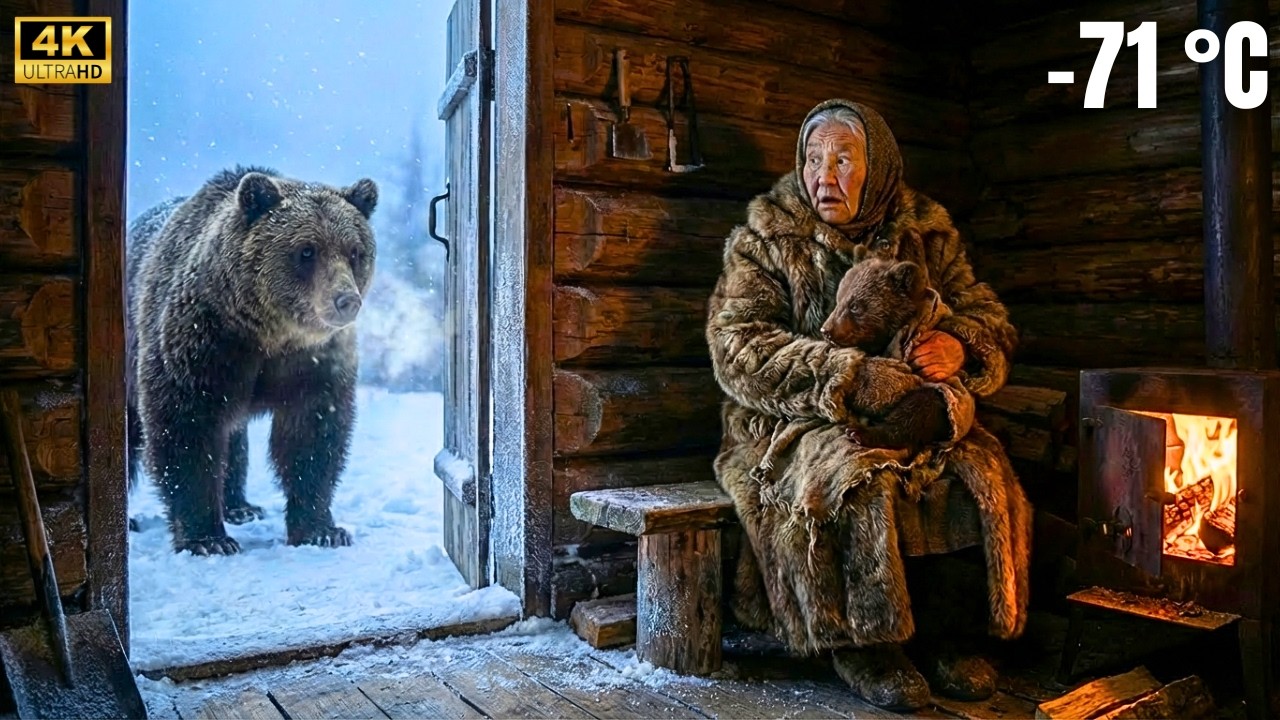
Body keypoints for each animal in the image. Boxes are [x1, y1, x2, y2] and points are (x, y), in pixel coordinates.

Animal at [125, 165, 378, 555]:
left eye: (355, 251)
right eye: (307, 251)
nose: (345, 300)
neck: (270, 334)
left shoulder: (314, 363)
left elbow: (312, 437)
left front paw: (322, 529)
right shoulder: (201, 348)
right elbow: (186, 430)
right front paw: (208, 539)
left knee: (233, 437)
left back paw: (240, 506)